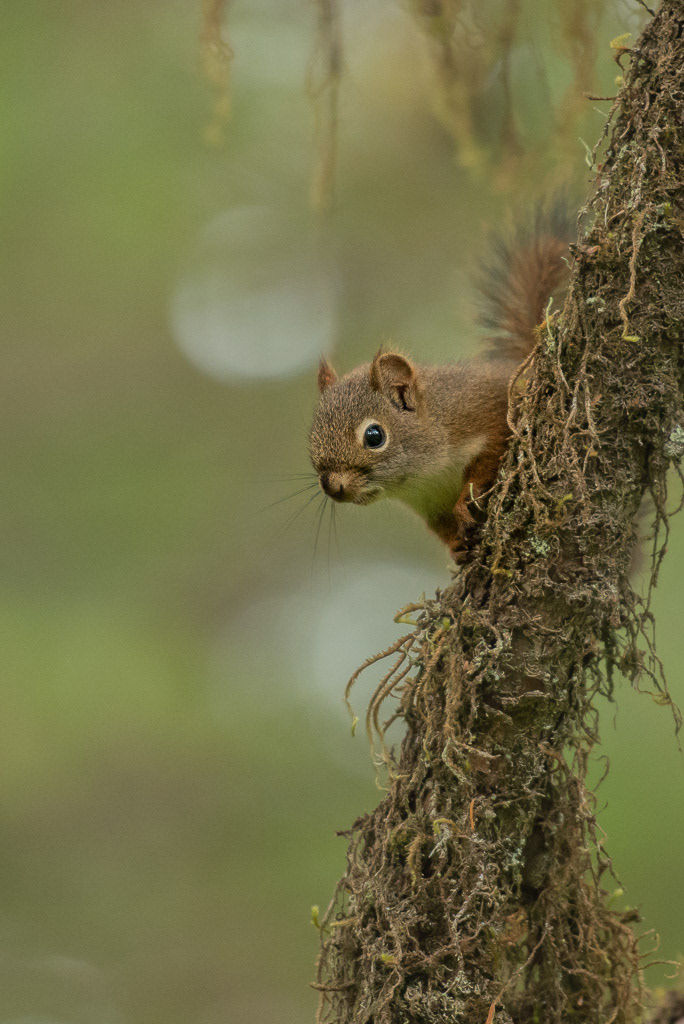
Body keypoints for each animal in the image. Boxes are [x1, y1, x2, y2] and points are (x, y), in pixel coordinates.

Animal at [308, 205, 572, 562]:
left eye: (374, 436)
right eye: (311, 436)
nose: (334, 487)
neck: (424, 474)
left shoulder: (486, 415)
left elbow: (485, 462)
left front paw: (466, 503)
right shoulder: (428, 505)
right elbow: (441, 528)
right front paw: (457, 548)